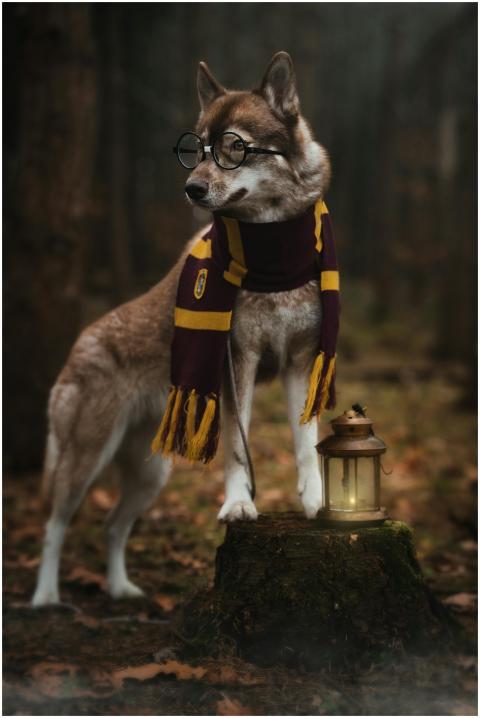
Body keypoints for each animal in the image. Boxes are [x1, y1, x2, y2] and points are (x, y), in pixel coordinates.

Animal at [32, 51, 332, 606]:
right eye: (197, 149)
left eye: (235, 146)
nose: (191, 188)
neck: (274, 248)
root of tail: (79, 344)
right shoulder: (237, 362)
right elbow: (236, 447)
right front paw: (239, 507)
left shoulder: (301, 359)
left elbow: (306, 444)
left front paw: (317, 502)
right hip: (85, 460)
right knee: (55, 525)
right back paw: (44, 598)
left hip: (153, 472)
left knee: (111, 526)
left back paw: (121, 589)